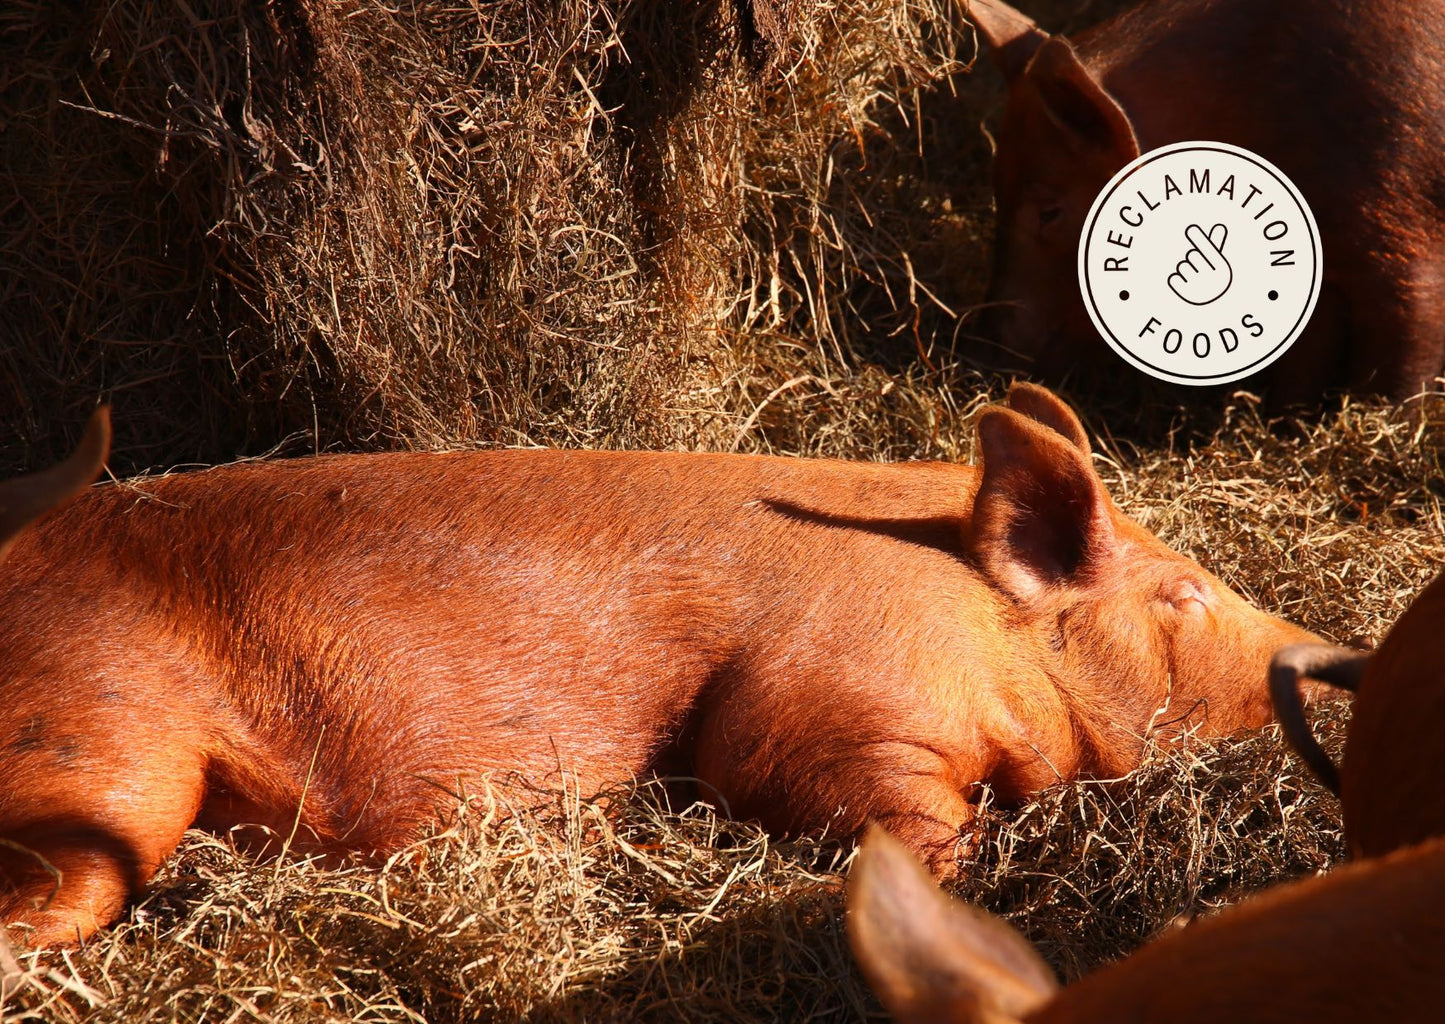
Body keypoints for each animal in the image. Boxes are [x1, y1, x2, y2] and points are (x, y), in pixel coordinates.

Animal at [0, 384, 1318, 946]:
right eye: (1183, 594)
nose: (1321, 652)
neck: (975, 620)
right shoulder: (824, 708)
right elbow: (907, 822)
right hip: (107, 742)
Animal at [968, 0, 1445, 403]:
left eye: (1049, 211)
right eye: (995, 190)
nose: (980, 354)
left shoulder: (1405, 236)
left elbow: (1401, 366)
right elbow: (1304, 363)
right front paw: (1285, 424)